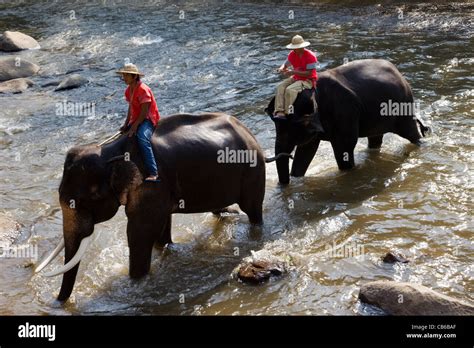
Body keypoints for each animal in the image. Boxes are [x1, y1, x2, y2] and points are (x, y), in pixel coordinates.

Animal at [36, 112, 266, 302]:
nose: (57, 302)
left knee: (253, 209)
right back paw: (229, 213)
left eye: (87, 199)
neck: (110, 150)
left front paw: (136, 283)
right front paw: (164, 249)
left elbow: (139, 233)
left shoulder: (151, 183)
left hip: (253, 169)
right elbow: (161, 228)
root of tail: (246, 129)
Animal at [266, 58, 430, 184]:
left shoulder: (345, 111)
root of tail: (399, 73)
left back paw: (421, 145)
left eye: (291, 128)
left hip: (402, 106)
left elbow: (344, 148)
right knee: (375, 139)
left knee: (411, 133)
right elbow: (306, 150)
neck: (313, 92)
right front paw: (296, 178)